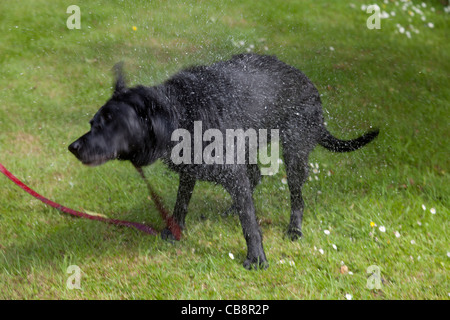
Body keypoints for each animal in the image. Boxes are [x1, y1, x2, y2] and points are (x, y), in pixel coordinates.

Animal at [69, 53, 380, 268]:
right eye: (92, 122)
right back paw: (232, 208)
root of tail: (310, 84)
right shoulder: (191, 171)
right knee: (254, 178)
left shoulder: (229, 169)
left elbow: (251, 226)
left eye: (110, 122)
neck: (182, 113)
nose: (73, 147)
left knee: (296, 198)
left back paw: (294, 229)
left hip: (294, 155)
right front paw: (174, 231)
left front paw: (256, 259)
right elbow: (181, 205)